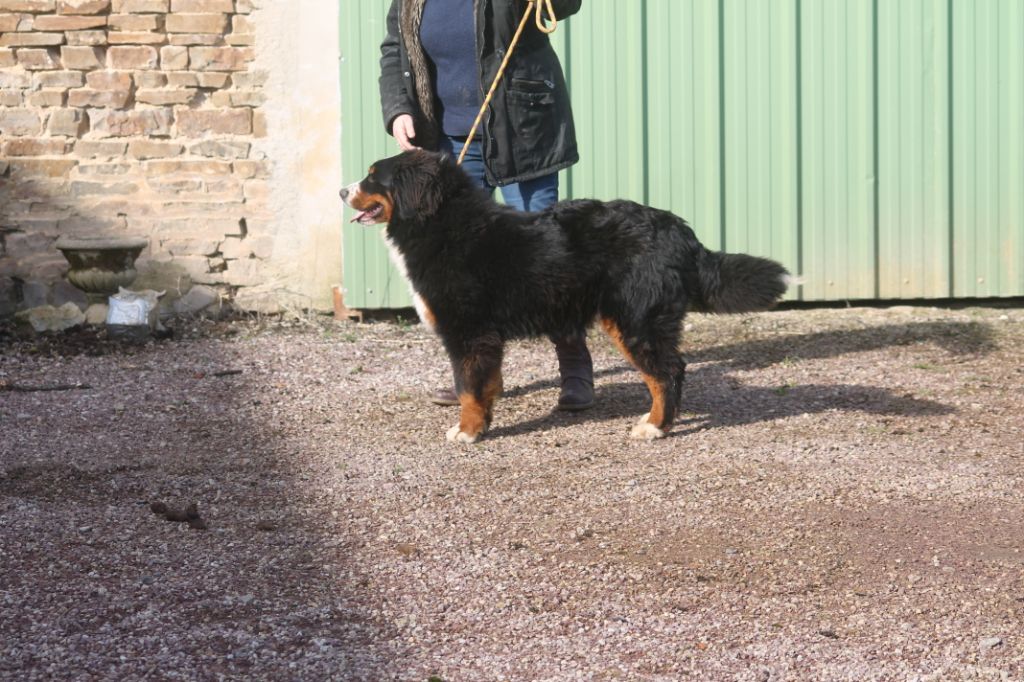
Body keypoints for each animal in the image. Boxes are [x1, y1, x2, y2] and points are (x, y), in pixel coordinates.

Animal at [342, 151, 790, 444]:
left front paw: (467, 431)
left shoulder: (468, 332)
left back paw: (654, 427)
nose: (343, 191)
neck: (441, 224)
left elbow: (467, 387)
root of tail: (678, 229)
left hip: (636, 320)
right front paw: (484, 419)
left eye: (373, 177)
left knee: (668, 372)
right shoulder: (485, 338)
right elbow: (484, 384)